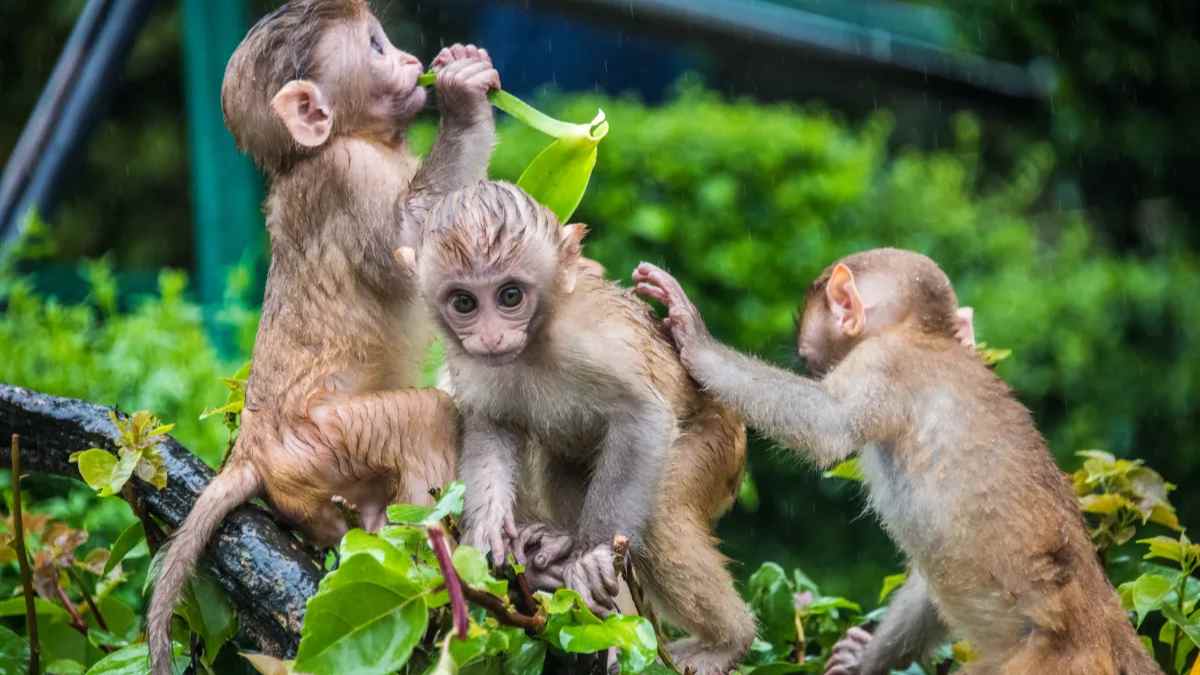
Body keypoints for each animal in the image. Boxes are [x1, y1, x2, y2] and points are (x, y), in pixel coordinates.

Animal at [146, 2, 501, 667]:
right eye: (375, 48)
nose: (411, 60)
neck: (350, 139)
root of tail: (253, 449)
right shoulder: (346, 177)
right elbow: (411, 251)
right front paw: (464, 95)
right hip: (324, 443)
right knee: (426, 419)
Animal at [400, 181, 758, 667]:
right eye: (464, 302)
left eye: (510, 296)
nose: (492, 337)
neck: (533, 344)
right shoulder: (467, 361)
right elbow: (492, 424)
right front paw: (489, 525)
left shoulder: (588, 340)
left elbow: (642, 415)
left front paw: (592, 555)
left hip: (718, 444)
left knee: (660, 514)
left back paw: (729, 641)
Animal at [633, 248, 1156, 672]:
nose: (809, 360)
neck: (924, 334)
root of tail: (1102, 621)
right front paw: (862, 661)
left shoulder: (883, 362)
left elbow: (828, 425)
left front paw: (694, 336)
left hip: (1049, 663)